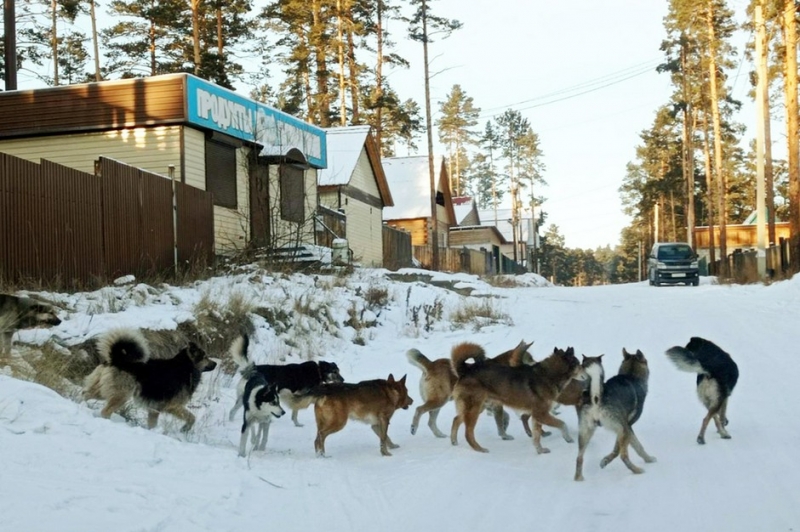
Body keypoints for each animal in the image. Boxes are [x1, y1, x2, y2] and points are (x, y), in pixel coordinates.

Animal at [450, 344, 588, 454]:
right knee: (468, 433)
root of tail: (465, 370)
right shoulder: (541, 414)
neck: (549, 375)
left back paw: (454, 441)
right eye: (579, 364)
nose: (588, 376)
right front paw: (567, 438)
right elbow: (562, 424)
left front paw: (540, 450)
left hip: (477, 408)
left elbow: (536, 437)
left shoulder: (537, 416)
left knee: (456, 419)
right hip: (474, 410)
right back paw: (479, 449)